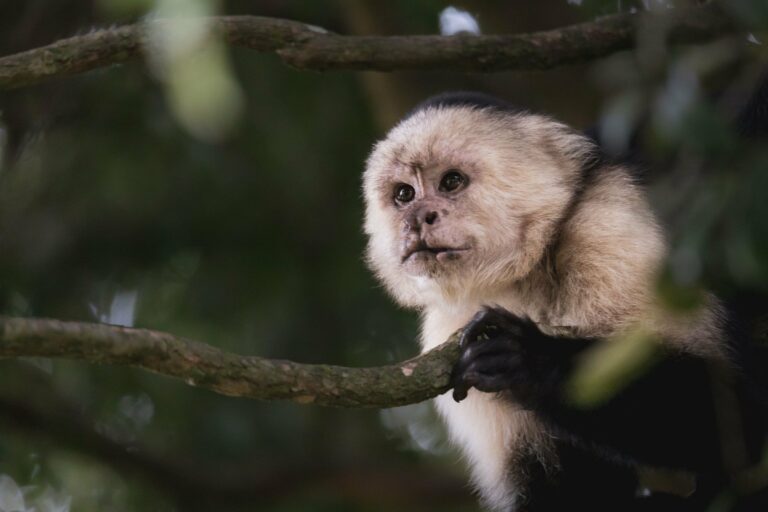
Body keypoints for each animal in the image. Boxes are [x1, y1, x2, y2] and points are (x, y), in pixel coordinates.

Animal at [362, 92, 768, 511]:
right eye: (404, 194)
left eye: (451, 181)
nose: (416, 219)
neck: (527, 270)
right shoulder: (447, 326)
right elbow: (565, 493)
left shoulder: (609, 227)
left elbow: (740, 415)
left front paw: (527, 358)